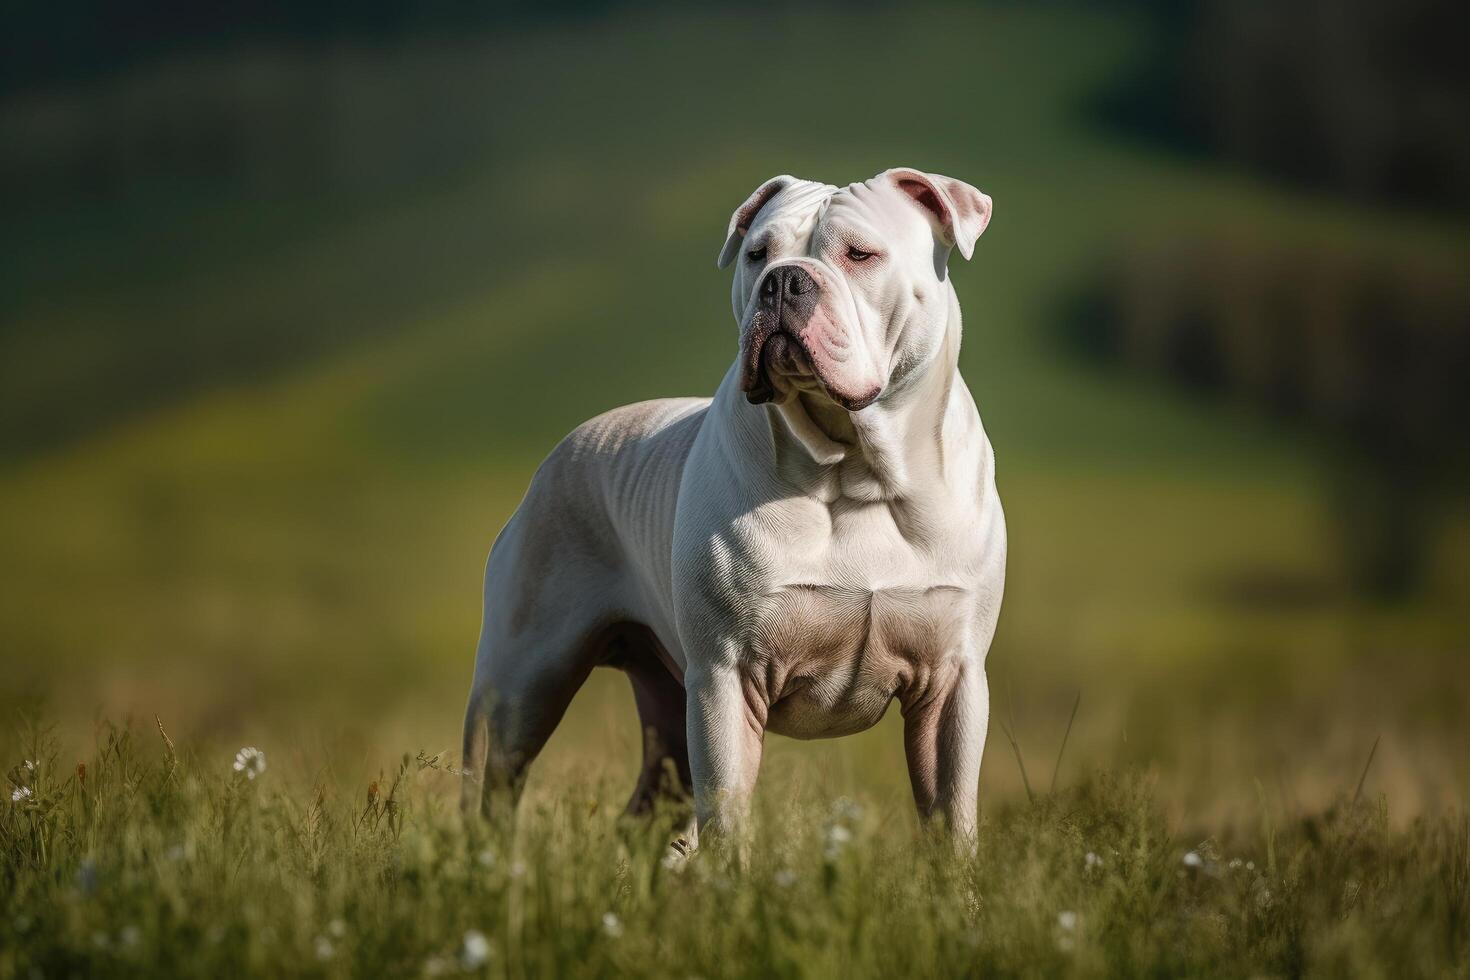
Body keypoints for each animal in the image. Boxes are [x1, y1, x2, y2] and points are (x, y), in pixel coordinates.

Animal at [464, 168, 1005, 846]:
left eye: (860, 254)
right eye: (756, 254)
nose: (784, 280)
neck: (856, 472)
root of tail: (559, 455)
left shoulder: (952, 685)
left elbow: (951, 819)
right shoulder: (726, 678)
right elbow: (727, 818)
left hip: (661, 713)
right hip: (525, 682)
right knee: (498, 783)